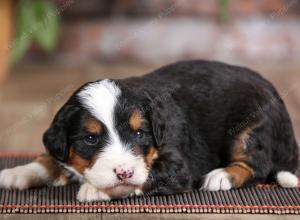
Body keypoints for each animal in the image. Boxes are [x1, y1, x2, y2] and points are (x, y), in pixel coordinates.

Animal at [0, 60, 300, 201]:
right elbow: (52, 158)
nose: (123, 171)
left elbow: (145, 177)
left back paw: (221, 176)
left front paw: (97, 189)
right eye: (90, 138)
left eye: (139, 134)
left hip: (250, 128)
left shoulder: (178, 165)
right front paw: (19, 172)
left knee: (257, 165)